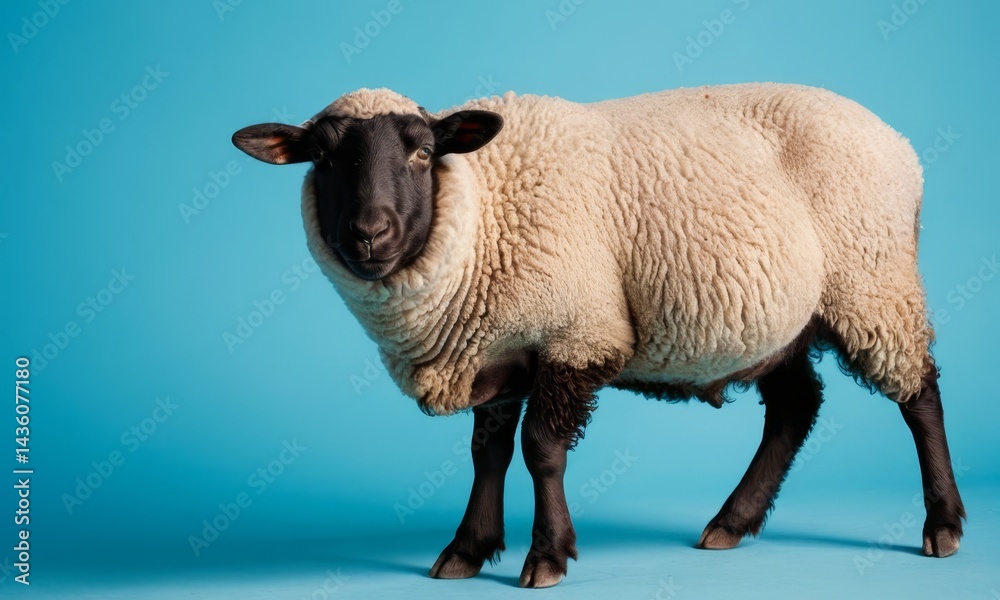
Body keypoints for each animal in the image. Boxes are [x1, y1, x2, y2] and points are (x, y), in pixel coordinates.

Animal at [232, 83, 965, 588]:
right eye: (323, 159)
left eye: (421, 152)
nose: (370, 234)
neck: (484, 217)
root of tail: (900, 145)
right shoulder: (500, 347)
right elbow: (487, 454)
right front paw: (466, 550)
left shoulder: (577, 333)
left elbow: (541, 450)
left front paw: (547, 556)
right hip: (784, 319)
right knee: (795, 408)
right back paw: (730, 523)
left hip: (874, 283)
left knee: (919, 396)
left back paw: (943, 526)